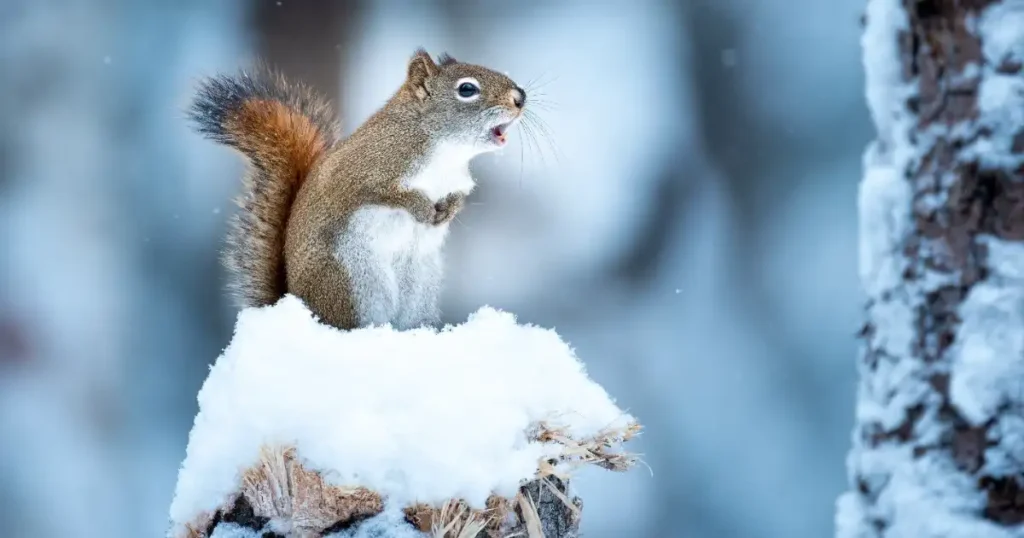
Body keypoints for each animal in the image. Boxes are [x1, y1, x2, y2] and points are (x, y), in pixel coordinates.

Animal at [189, 50, 528, 329]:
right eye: (467, 89)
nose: (520, 97)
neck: (445, 150)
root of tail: (294, 302)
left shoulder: (458, 181)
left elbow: (458, 197)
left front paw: (448, 211)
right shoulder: (362, 172)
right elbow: (388, 195)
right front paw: (419, 207)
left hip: (419, 288)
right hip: (352, 284)